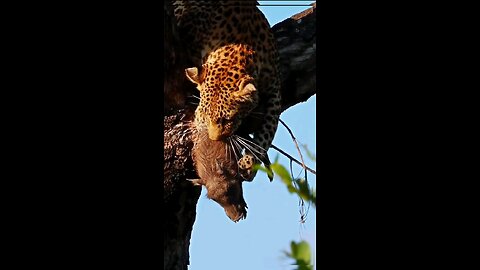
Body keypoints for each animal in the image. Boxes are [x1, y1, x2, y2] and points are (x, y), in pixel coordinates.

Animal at [172, 1, 282, 181]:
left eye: (228, 119)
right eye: (206, 117)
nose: (214, 139)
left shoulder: (275, 89)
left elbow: (268, 130)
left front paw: (250, 162)